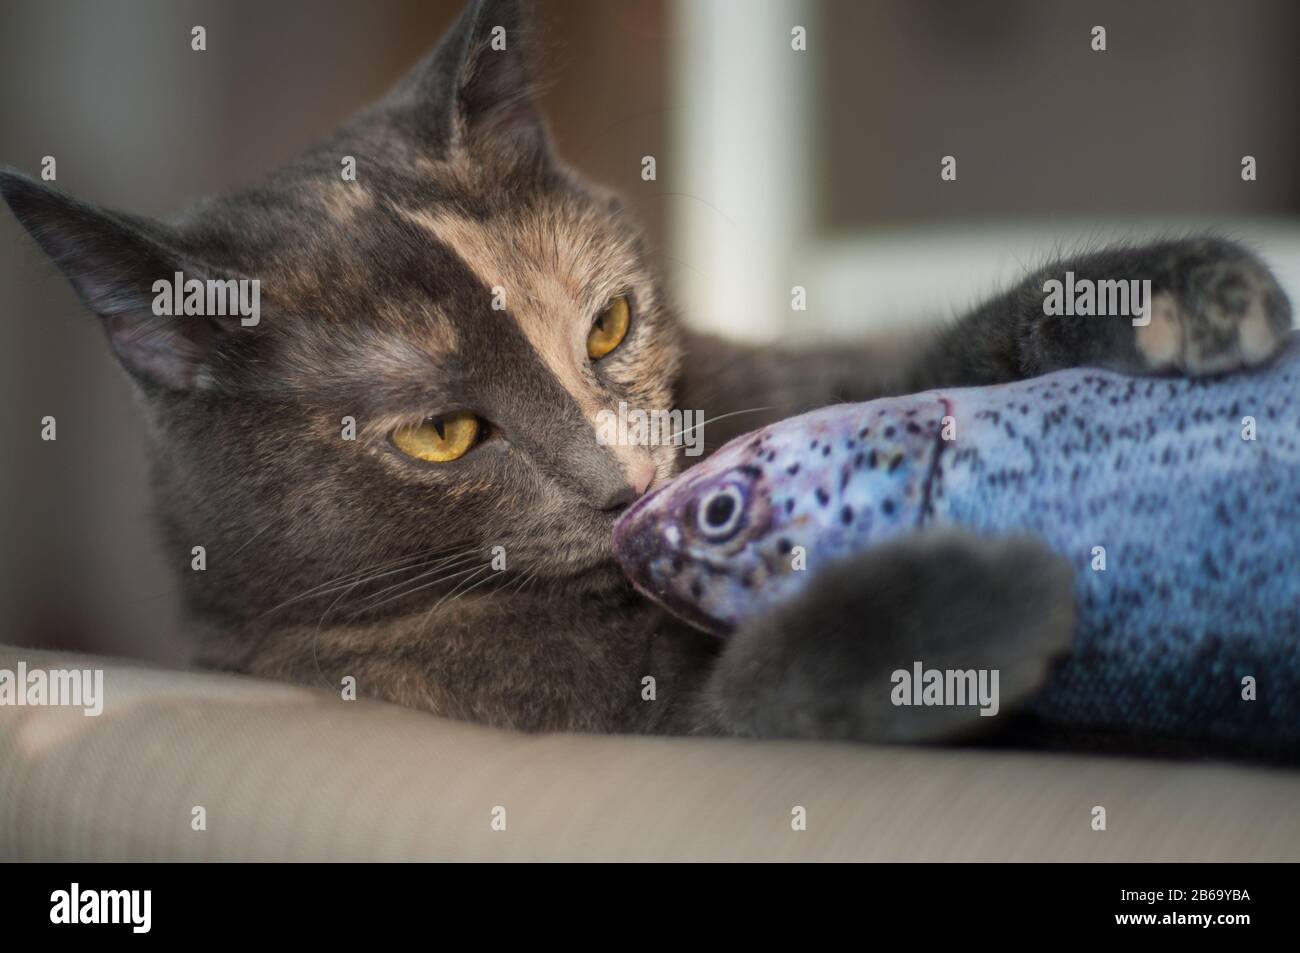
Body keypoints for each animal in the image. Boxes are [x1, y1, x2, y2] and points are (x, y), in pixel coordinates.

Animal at [2, 0, 1289, 743]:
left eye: (609, 325)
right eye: (440, 435)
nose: (624, 484)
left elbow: (920, 358)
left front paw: (1174, 293)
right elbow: (750, 699)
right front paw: (973, 596)